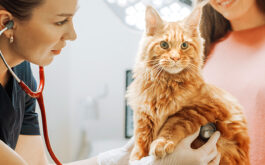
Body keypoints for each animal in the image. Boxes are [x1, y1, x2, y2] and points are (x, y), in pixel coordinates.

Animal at [127, 5, 249, 165]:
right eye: (164, 45)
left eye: (184, 45)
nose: (175, 58)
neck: (166, 84)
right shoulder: (144, 116)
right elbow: (141, 140)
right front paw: (138, 158)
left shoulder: (198, 108)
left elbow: (172, 124)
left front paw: (162, 142)